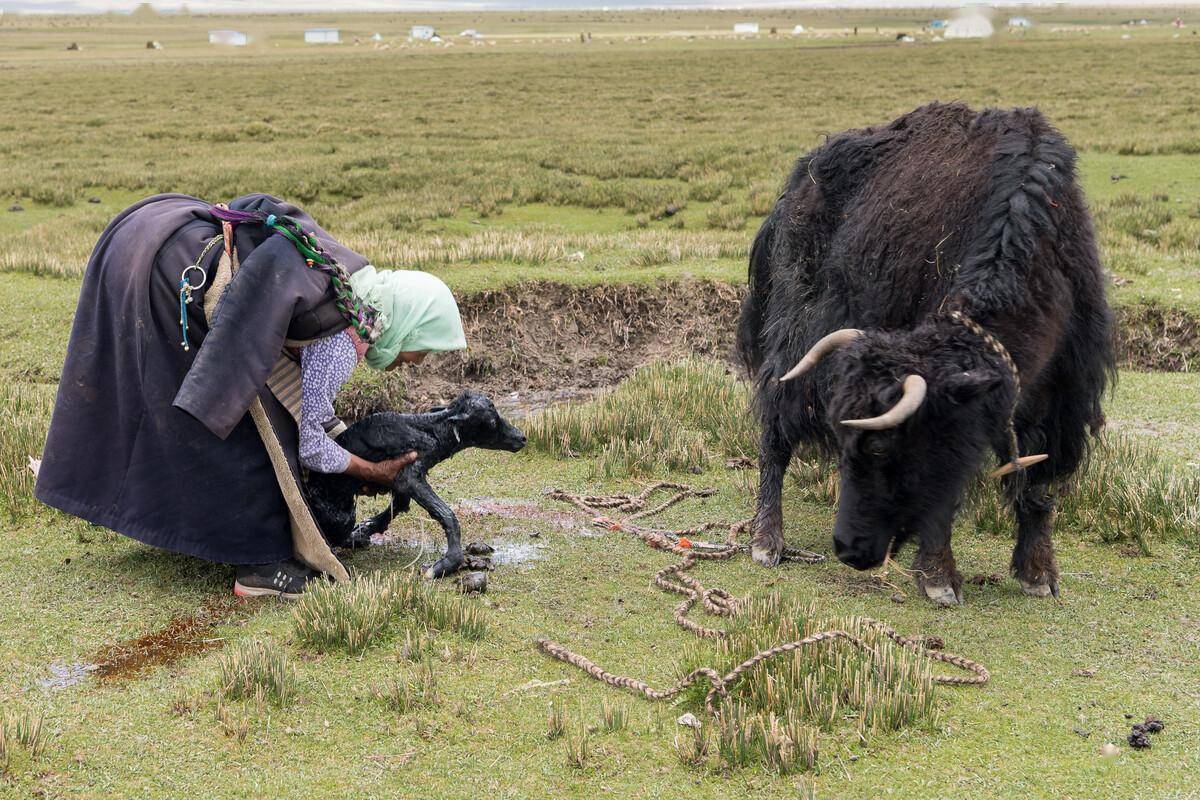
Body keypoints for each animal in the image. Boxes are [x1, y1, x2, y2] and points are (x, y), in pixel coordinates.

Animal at [304, 391, 525, 578]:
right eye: (492, 422)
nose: (522, 437)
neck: (432, 431)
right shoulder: (408, 476)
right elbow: (446, 514)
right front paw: (443, 565)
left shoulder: (402, 483)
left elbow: (398, 506)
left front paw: (365, 529)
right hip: (341, 516)